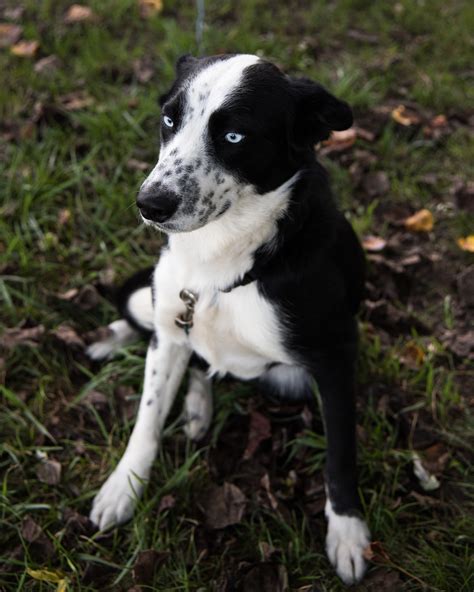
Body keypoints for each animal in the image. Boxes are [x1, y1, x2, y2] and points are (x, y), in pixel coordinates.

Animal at [88, 54, 370, 584]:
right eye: (169, 120)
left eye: (235, 136)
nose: (150, 204)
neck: (220, 264)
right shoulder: (170, 328)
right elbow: (147, 419)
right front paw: (122, 487)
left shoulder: (335, 358)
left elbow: (341, 454)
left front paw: (347, 534)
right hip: (154, 307)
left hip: (289, 379)